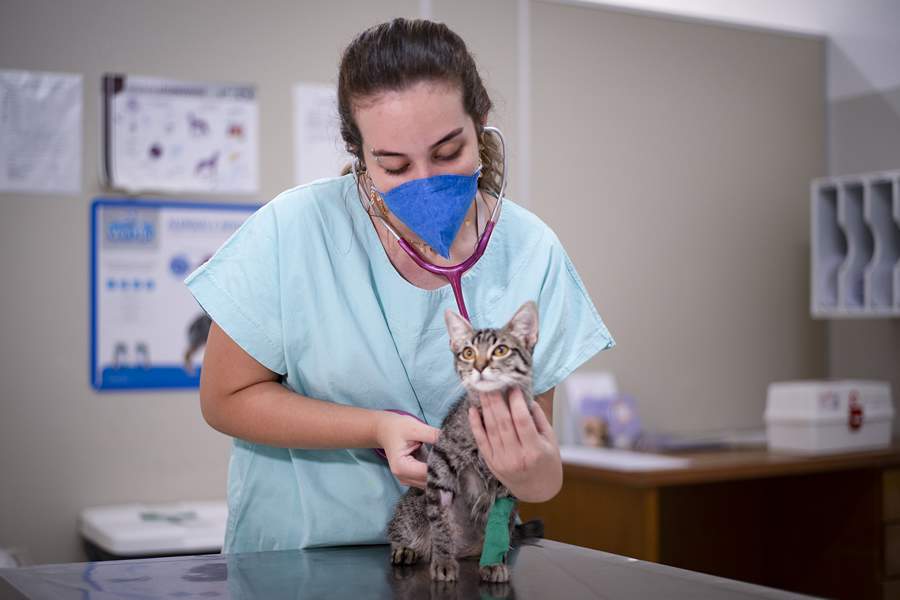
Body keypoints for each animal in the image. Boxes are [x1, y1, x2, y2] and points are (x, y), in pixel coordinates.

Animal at [386, 300, 540, 580]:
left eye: (501, 350)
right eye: (468, 353)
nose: (479, 366)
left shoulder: (513, 473)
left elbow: (497, 516)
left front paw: (493, 562)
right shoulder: (440, 465)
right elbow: (441, 522)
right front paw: (444, 562)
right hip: (412, 508)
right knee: (403, 528)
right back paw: (407, 549)